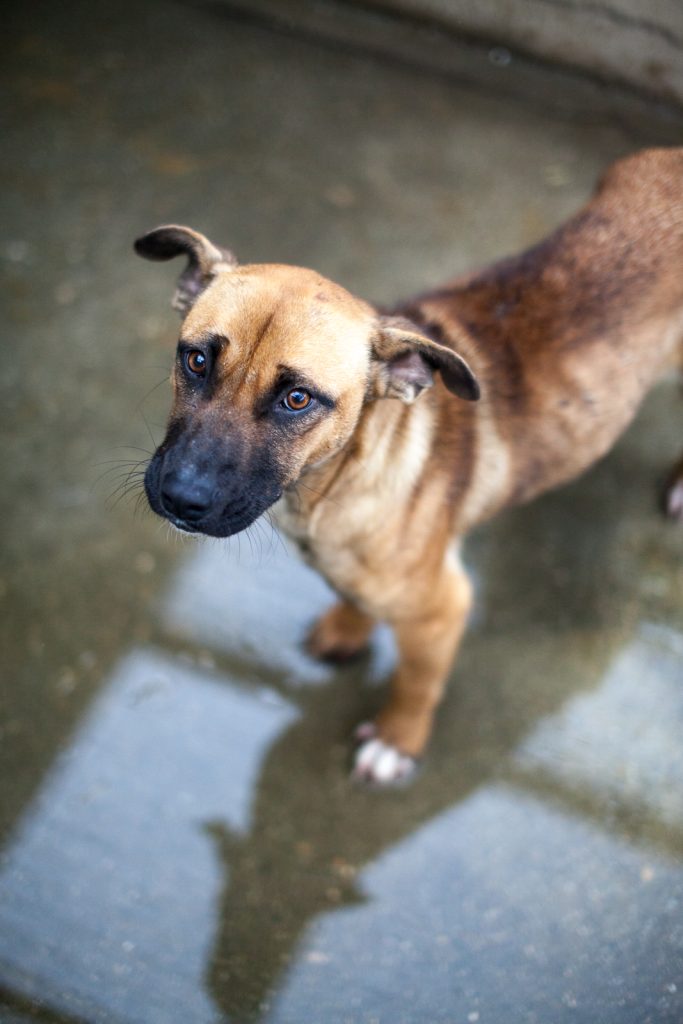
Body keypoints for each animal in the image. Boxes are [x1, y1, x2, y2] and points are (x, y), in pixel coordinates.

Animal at [136, 146, 683, 782]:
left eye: (297, 399)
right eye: (196, 360)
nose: (181, 497)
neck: (331, 483)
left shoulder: (442, 610)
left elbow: (417, 684)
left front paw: (397, 740)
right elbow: (354, 598)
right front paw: (348, 628)